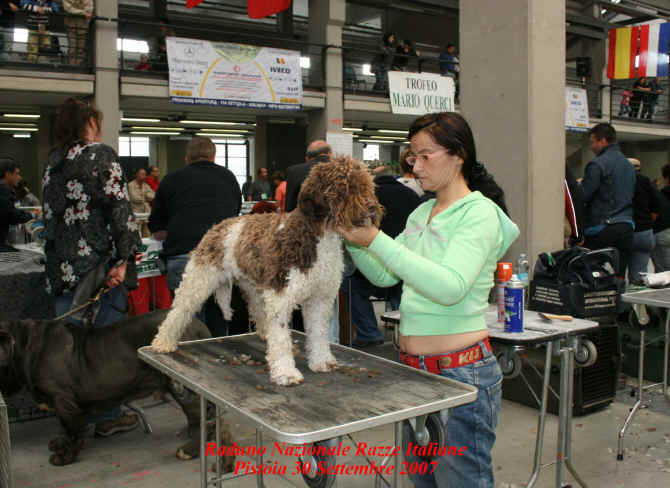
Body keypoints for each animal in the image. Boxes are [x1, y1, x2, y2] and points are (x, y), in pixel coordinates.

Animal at [0, 308, 236, 468]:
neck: (24, 345)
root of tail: (199, 327)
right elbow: (65, 430)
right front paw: (59, 443)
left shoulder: (63, 401)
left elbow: (71, 430)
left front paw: (64, 456)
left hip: (182, 388)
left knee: (202, 419)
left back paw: (188, 450)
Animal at [152, 156, 384, 386]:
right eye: (343, 186)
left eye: (367, 185)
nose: (372, 207)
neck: (317, 237)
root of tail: (219, 225)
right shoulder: (281, 296)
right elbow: (281, 337)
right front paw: (286, 372)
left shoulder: (319, 298)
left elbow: (318, 332)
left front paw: (322, 361)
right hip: (199, 278)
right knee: (179, 310)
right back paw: (163, 342)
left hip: (254, 285)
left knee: (257, 310)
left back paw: (264, 333)